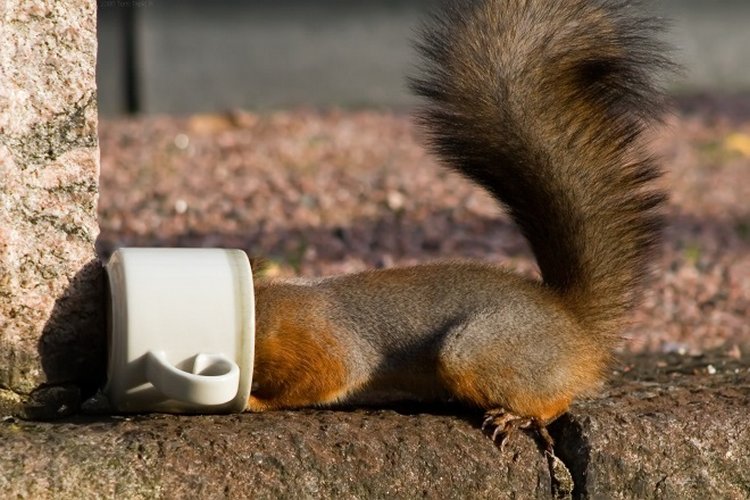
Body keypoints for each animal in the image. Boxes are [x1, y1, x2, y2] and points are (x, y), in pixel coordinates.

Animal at [250, 0, 672, 450]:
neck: (264, 312)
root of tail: (578, 332)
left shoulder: (316, 339)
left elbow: (327, 377)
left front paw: (257, 401)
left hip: (476, 350)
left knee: (555, 399)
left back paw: (518, 416)